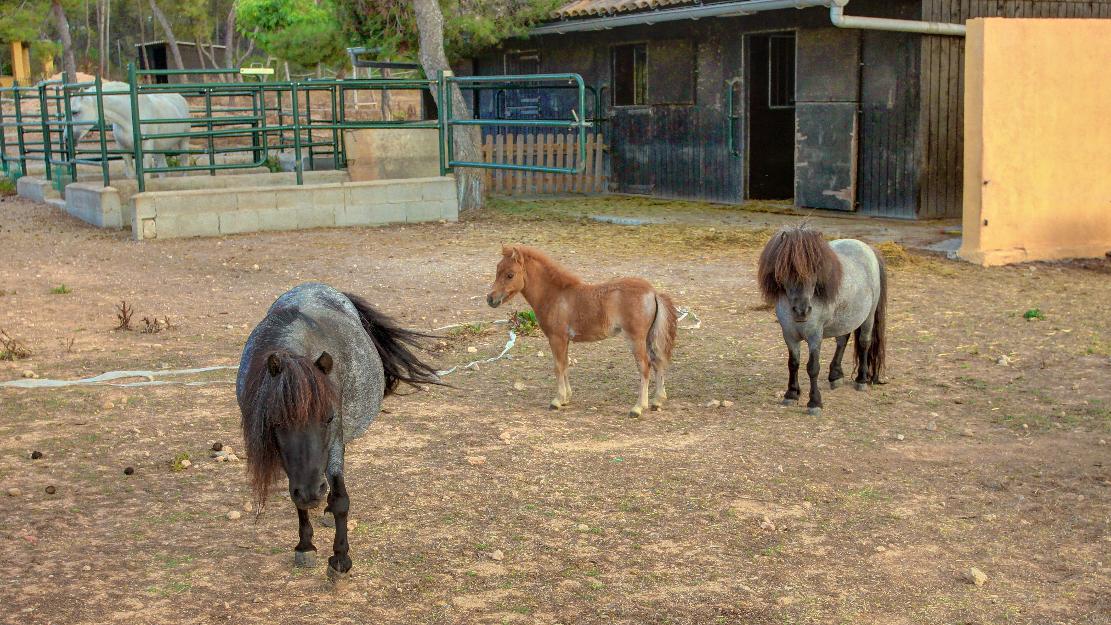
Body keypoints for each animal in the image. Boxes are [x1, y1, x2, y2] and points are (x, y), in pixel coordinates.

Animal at [486, 244, 675, 415]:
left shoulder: (556, 338)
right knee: (657, 362)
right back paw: (657, 401)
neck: (555, 296)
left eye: (510, 275)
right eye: (497, 270)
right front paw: (566, 398)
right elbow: (565, 365)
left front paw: (557, 400)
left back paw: (638, 408)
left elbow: (558, 366)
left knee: (645, 366)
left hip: (636, 338)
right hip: (649, 337)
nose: (490, 299)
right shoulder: (564, 340)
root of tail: (653, 292)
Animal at [755, 227, 884, 417]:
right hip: (844, 318)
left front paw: (814, 403)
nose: (802, 311)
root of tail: (868, 248)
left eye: (815, 269)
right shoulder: (789, 335)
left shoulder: (815, 336)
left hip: (868, 316)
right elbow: (793, 363)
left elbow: (813, 367)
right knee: (842, 340)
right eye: (786, 268)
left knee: (864, 343)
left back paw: (861, 380)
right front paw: (791, 394)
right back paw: (835, 376)